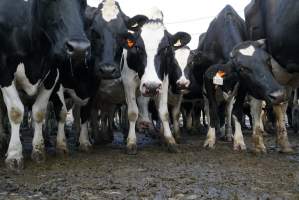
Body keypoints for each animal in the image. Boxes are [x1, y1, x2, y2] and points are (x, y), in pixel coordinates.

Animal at [0, 0, 90, 170]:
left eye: (84, 2)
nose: (79, 48)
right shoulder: (4, 72)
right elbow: (16, 112)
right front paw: (14, 154)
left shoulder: (52, 74)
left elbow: (39, 111)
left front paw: (38, 149)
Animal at [122, 7, 191, 155]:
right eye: (137, 47)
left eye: (166, 48)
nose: (151, 86)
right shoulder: (128, 82)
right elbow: (132, 112)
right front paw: (131, 142)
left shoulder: (163, 83)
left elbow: (164, 113)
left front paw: (170, 141)